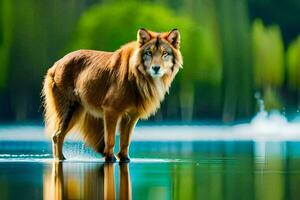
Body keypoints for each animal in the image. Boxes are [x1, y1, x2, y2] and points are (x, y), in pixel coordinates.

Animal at [42, 28, 183, 162]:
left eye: (165, 53)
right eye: (149, 53)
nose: (156, 68)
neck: (138, 76)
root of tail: (56, 64)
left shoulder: (131, 116)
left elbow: (125, 141)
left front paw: (125, 158)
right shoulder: (111, 111)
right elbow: (110, 140)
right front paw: (110, 158)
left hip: (77, 111)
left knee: (58, 135)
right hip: (69, 111)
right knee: (57, 135)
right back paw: (60, 159)